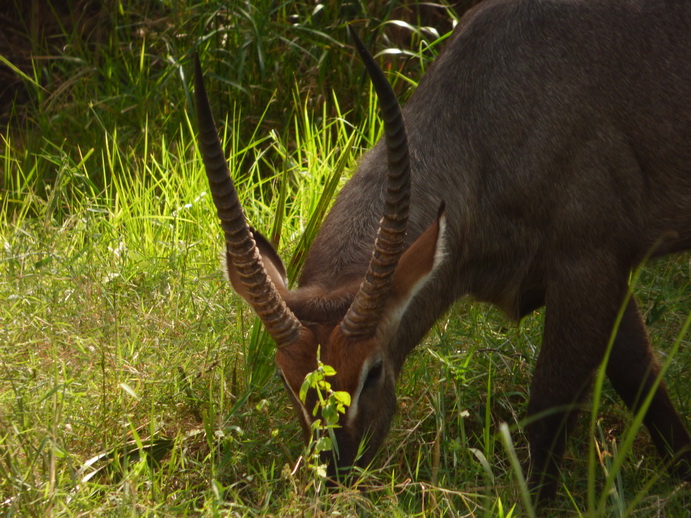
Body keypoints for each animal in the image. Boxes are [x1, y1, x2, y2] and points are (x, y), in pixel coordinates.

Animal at [192, 0, 688, 506]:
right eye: (287, 380)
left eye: (372, 371)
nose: (336, 472)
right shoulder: (596, 278)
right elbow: (641, 376)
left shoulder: (588, 264)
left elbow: (551, 405)